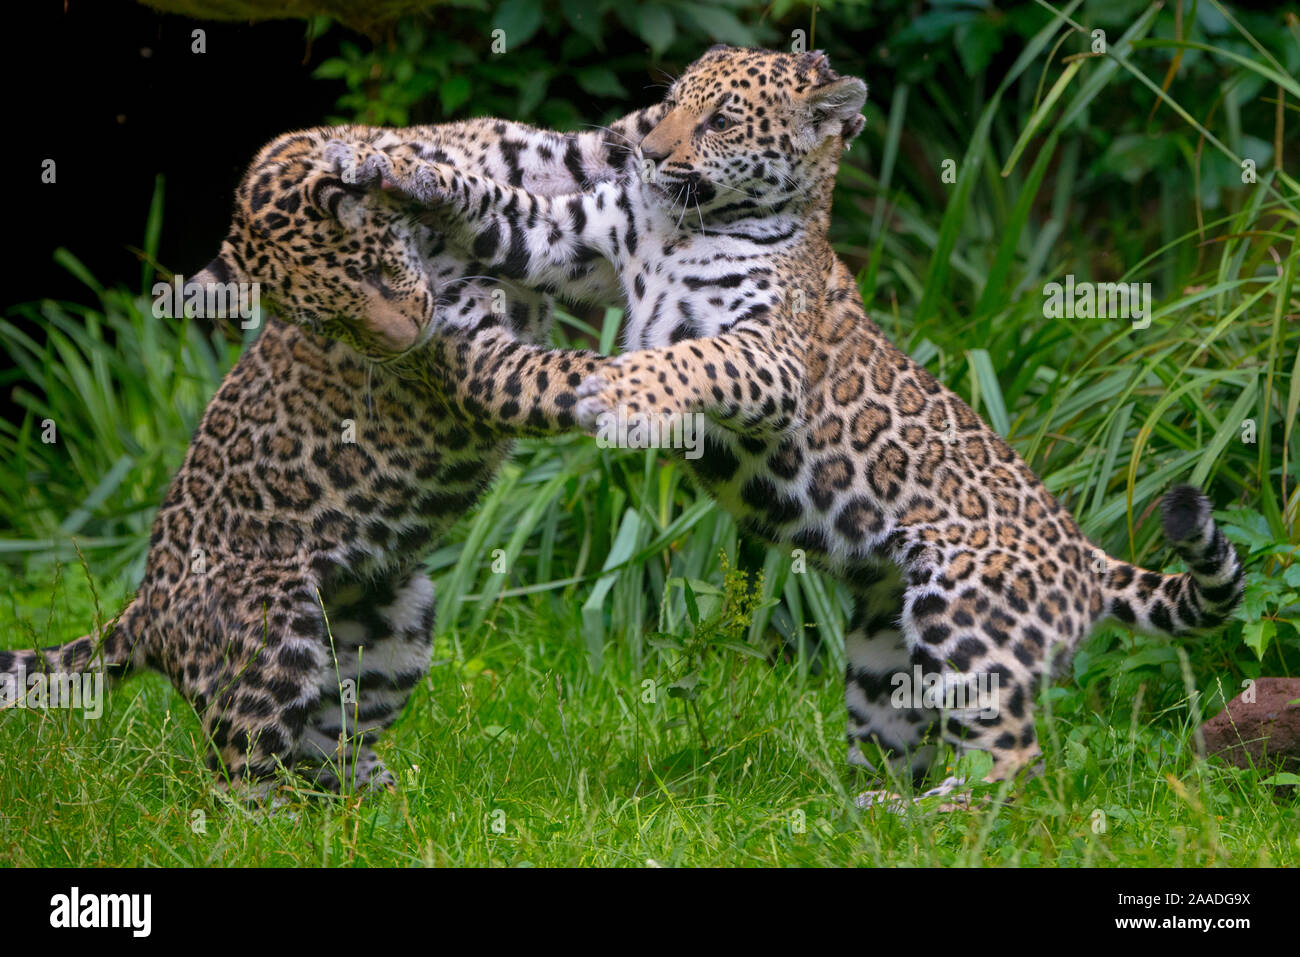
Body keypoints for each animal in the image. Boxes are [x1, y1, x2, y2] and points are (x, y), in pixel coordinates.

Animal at [0, 105, 667, 797]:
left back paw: (389, 807)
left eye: (372, 271)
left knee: (330, 742)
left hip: (395, 621)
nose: (406, 342)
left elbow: (626, 138)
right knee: (239, 773)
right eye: (325, 323)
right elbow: (568, 374)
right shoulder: (483, 372)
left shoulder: (554, 166)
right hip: (272, 640)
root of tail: (144, 608)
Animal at [324, 44, 1245, 807]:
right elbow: (496, 202)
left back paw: (942, 815)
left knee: (1016, 760)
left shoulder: (767, 358)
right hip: (881, 650)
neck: (680, 221)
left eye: (723, 120)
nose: (649, 155)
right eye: (670, 104)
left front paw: (617, 394)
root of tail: (1087, 557)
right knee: (904, 735)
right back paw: (869, 808)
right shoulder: (566, 237)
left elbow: (687, 358)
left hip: (970, 615)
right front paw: (393, 166)